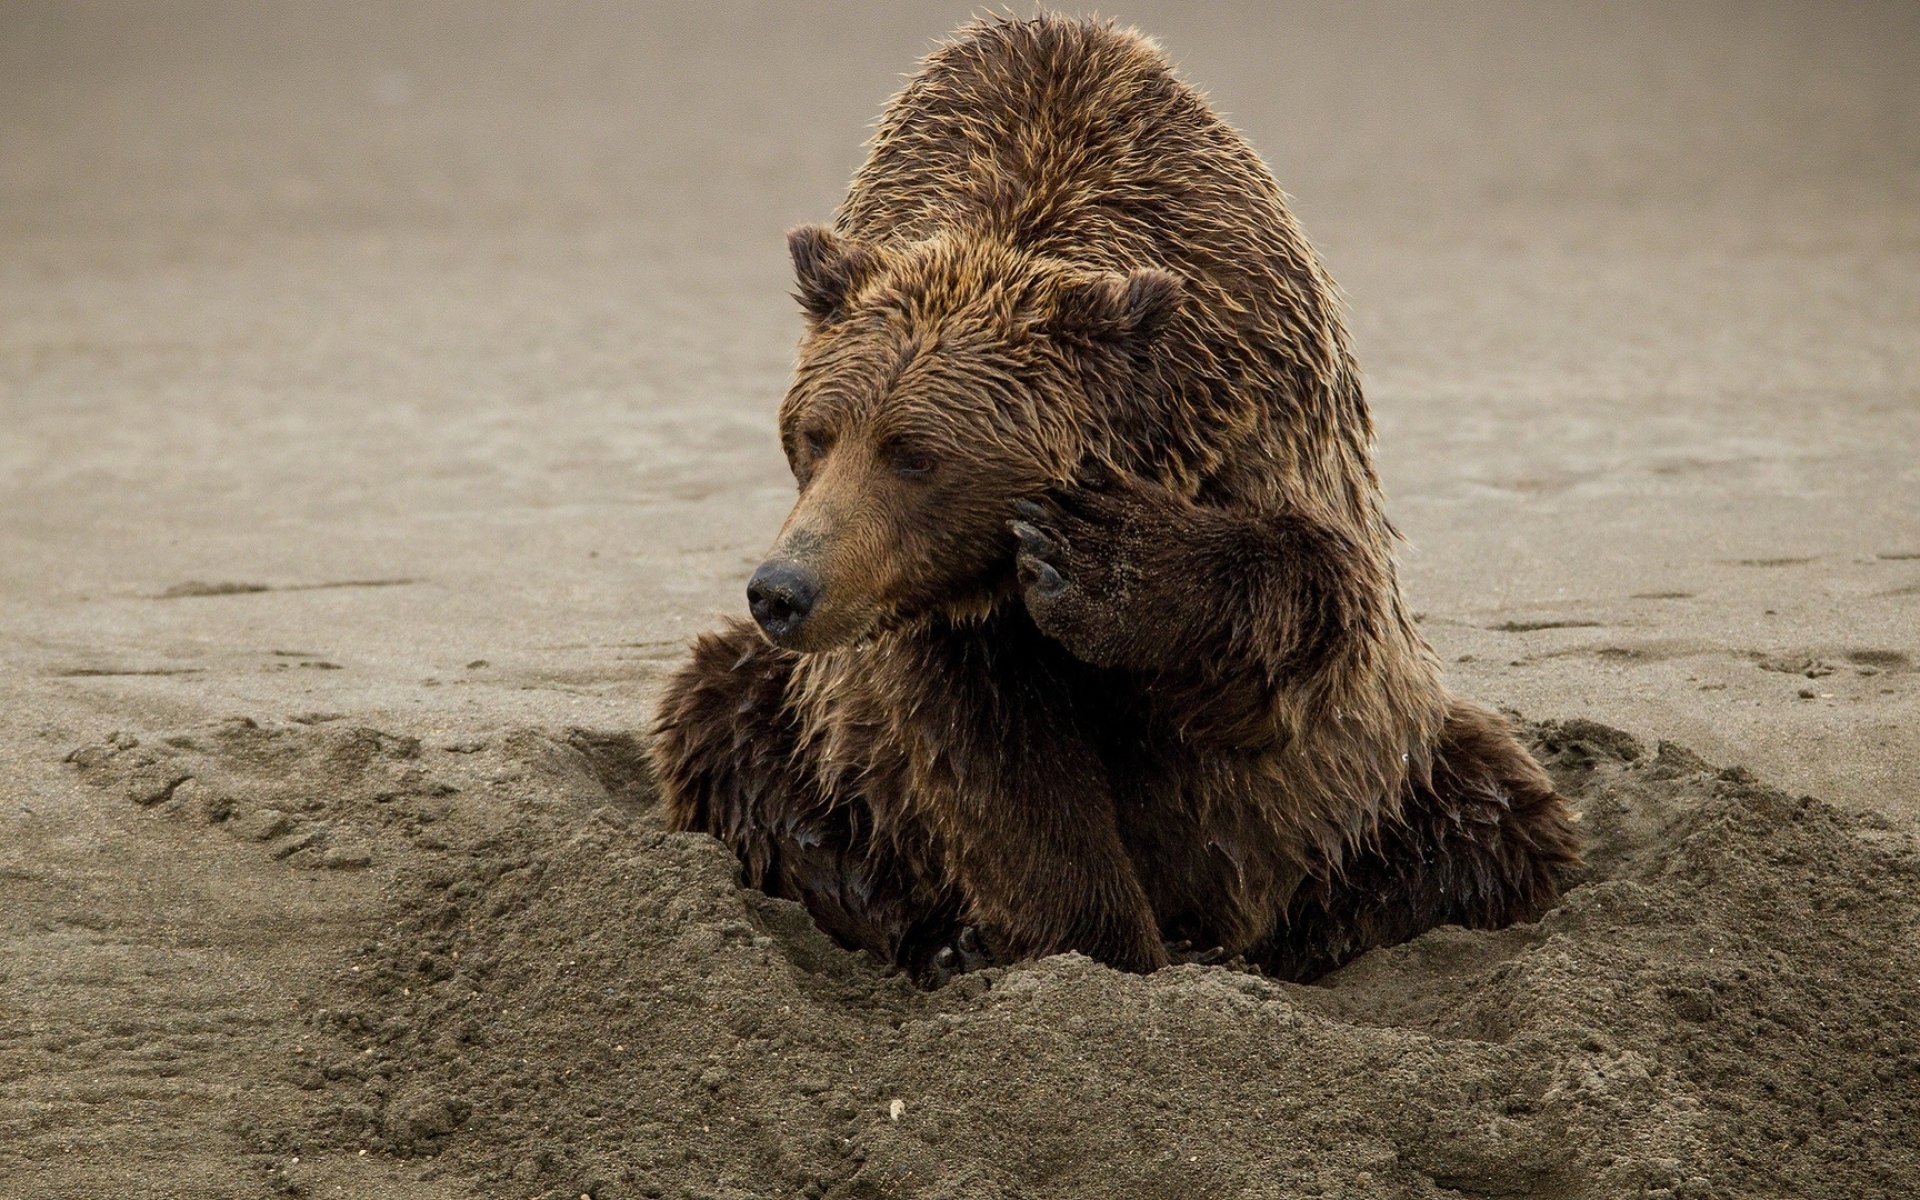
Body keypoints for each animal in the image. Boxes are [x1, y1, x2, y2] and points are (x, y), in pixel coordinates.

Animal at [651, 13, 1580, 983]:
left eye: (914, 455)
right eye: (815, 434)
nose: (783, 590)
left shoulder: (1255, 401)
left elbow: (1309, 602)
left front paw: (1100, 561)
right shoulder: (943, 620)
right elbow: (998, 764)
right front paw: (1095, 943)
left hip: (1388, 777)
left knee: (1491, 819)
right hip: (809, 729)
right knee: (722, 717)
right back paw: (942, 937)